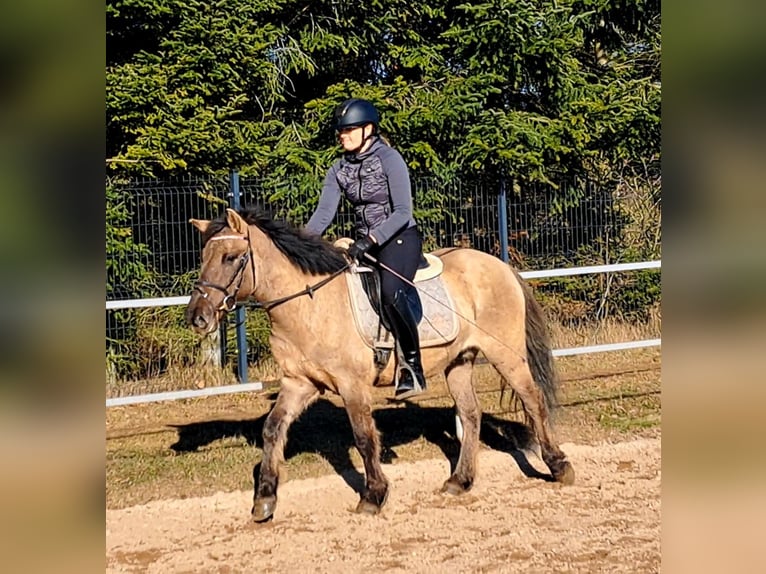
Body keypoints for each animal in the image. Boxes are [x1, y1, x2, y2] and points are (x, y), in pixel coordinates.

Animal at [185, 207, 575, 522]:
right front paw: (264, 500)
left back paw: (559, 466)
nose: (197, 318)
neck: (309, 305)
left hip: (506, 354)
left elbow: (363, 437)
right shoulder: (299, 382)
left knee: (533, 401)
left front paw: (373, 496)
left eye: (232, 257)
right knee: (470, 414)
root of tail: (500, 265)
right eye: (204, 256)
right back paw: (460, 481)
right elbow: (272, 429)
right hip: (459, 362)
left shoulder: (352, 385)